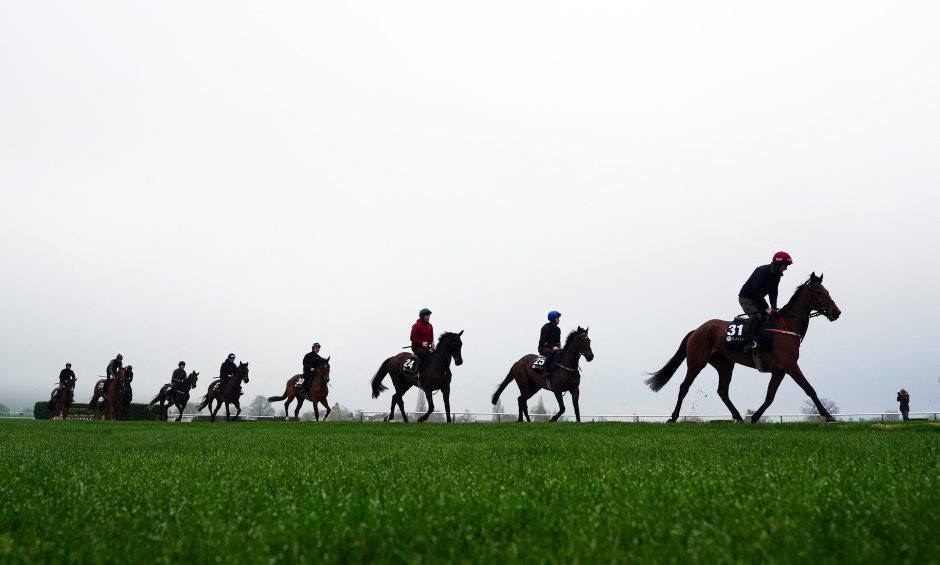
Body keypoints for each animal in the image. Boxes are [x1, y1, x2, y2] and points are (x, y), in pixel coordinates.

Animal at [645, 273, 841, 423]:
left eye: (827, 291)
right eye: (819, 292)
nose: (836, 312)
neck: (787, 327)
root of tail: (697, 330)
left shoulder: (780, 370)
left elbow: (769, 396)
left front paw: (754, 417)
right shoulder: (790, 365)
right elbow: (809, 389)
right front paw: (828, 416)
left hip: (725, 364)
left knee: (722, 391)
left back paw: (738, 416)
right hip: (696, 362)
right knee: (684, 387)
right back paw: (673, 417)